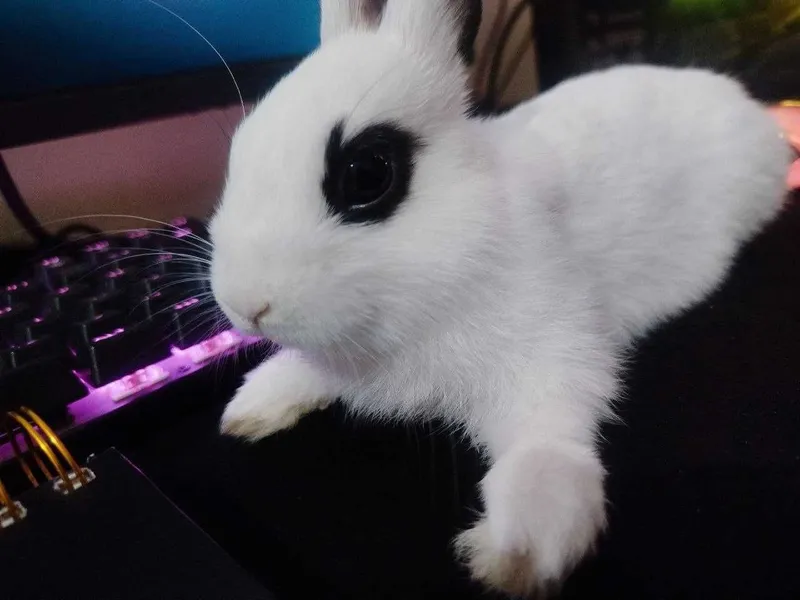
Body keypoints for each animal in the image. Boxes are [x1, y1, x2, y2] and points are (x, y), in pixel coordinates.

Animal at [209, 0, 791, 596]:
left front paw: (521, 547)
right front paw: (252, 408)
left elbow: (547, 435)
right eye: (238, 150)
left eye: (367, 174)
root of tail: (749, 106)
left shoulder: (552, 348)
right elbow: (305, 370)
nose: (246, 306)